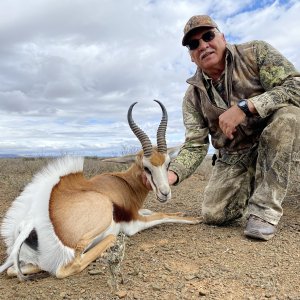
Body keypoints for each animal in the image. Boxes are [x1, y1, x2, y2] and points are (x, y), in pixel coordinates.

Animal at [0, 99, 202, 280]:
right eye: (146, 167)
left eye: (168, 164)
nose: (165, 193)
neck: (125, 183)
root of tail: (29, 223)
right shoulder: (134, 222)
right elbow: (161, 215)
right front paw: (195, 218)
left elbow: (152, 210)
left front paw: (180, 212)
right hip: (99, 220)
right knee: (69, 265)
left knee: (12, 270)